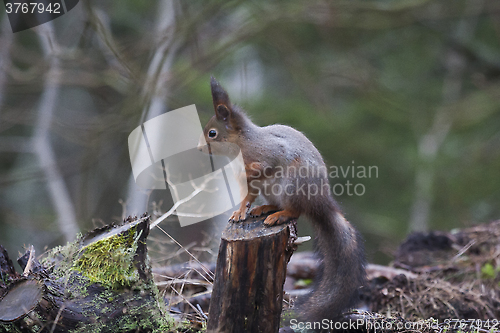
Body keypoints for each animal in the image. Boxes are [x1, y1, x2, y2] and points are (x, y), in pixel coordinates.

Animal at [200, 77, 368, 322]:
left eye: (212, 133)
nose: (199, 149)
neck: (242, 143)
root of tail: (321, 203)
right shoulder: (252, 185)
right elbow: (247, 197)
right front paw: (240, 211)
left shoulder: (272, 151)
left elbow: (267, 163)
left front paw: (245, 171)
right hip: (274, 190)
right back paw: (264, 209)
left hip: (293, 183)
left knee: (295, 210)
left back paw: (278, 216)